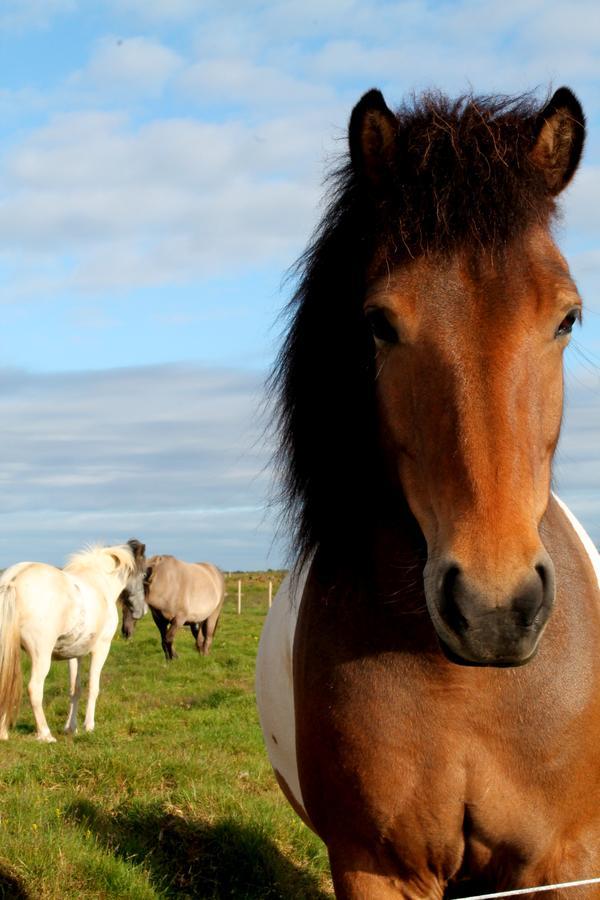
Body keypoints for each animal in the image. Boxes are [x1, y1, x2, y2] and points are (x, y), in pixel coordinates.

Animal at [0, 536, 146, 740]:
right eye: (144, 575)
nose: (142, 611)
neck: (100, 584)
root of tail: (13, 579)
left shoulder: (75, 655)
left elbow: (74, 689)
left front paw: (71, 727)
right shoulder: (101, 649)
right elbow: (93, 687)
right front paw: (89, 726)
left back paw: (3, 733)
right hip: (41, 655)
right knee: (34, 688)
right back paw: (46, 735)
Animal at [255, 86, 600, 900]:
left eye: (567, 317)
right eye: (380, 324)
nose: (496, 609)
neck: (463, 684)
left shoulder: (564, 864)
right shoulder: (375, 867)